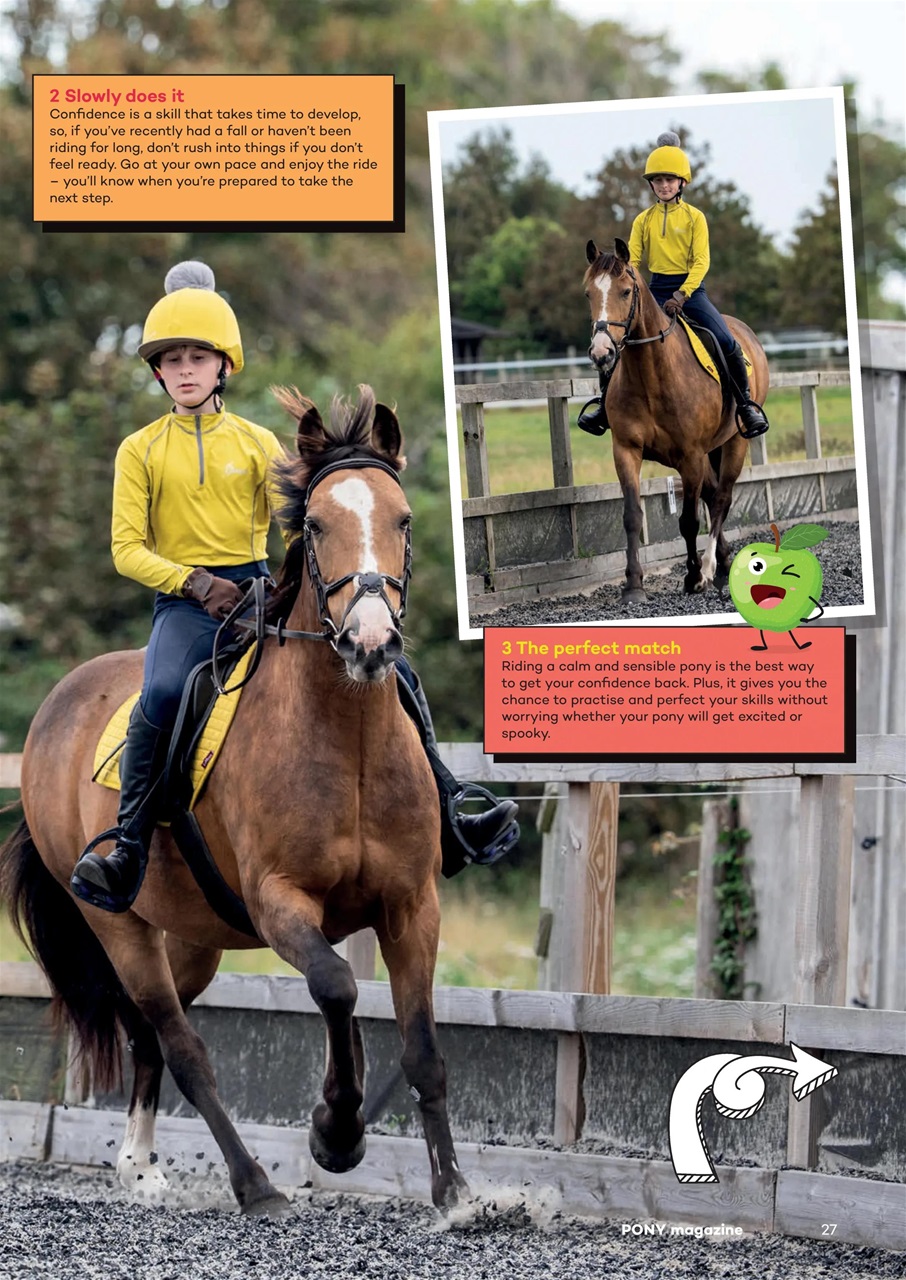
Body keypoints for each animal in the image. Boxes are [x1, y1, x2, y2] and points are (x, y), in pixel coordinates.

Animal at [0, 385, 469, 1216]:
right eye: (315, 526)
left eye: (404, 519)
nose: (370, 643)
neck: (346, 738)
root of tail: (57, 705)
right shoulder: (280, 902)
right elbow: (335, 985)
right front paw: (334, 1132)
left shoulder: (411, 905)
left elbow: (420, 1048)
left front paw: (456, 1194)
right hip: (119, 926)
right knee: (181, 1045)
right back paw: (253, 1184)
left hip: (191, 936)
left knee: (150, 1037)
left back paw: (141, 1167)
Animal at [583, 238, 770, 600]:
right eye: (588, 294)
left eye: (625, 291)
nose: (602, 353)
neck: (651, 375)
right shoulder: (626, 450)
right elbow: (632, 515)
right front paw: (633, 585)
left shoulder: (691, 456)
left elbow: (688, 520)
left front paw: (694, 576)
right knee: (713, 496)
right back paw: (722, 565)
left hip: (734, 443)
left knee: (722, 497)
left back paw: (710, 567)